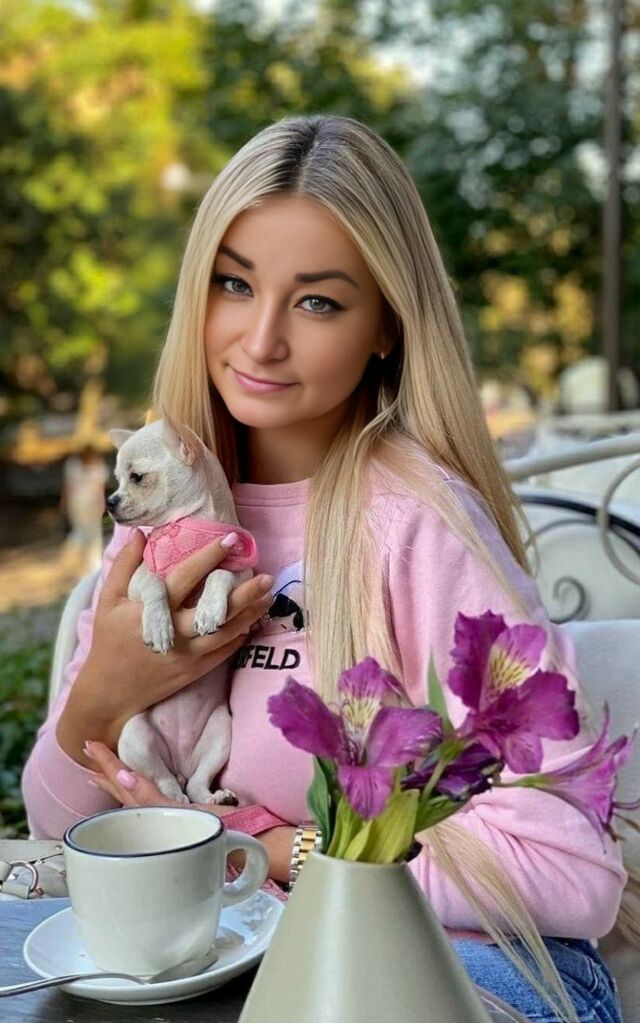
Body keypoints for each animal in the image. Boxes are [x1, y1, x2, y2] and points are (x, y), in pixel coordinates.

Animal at [106, 419, 258, 804]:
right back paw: (173, 799)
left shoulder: (242, 571)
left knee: (197, 783)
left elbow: (219, 574)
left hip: (221, 731)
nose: (109, 501)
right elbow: (156, 585)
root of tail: (181, 761)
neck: (191, 531)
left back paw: (217, 798)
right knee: (165, 780)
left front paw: (208, 610)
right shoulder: (139, 579)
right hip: (135, 736)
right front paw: (159, 627)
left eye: (137, 477)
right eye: (117, 480)